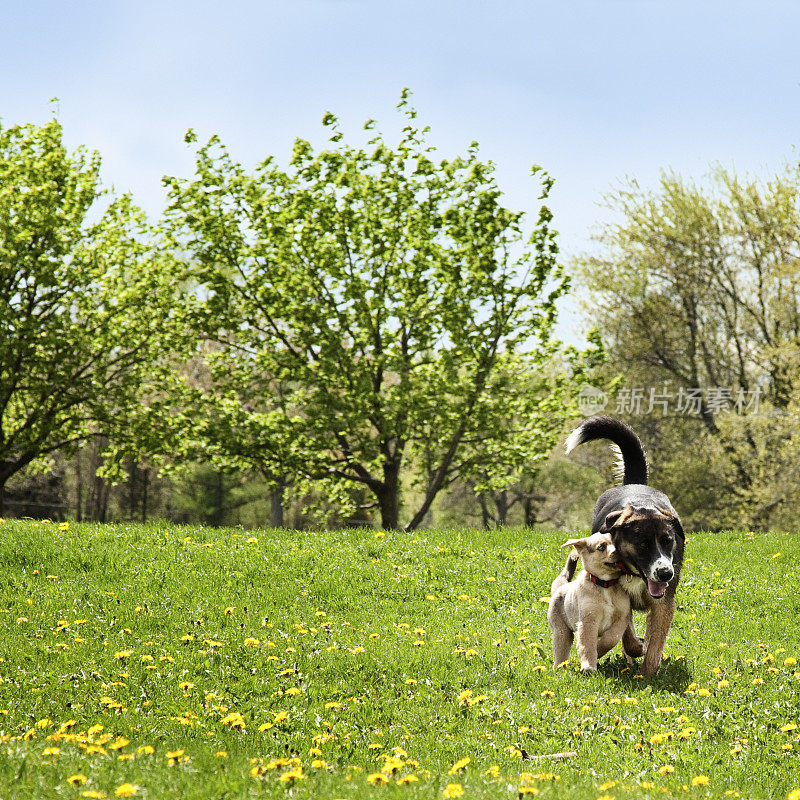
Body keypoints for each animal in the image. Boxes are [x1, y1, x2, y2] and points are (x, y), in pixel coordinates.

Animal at [552, 536, 632, 672]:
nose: (618, 552)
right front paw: (588, 666)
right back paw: (560, 670)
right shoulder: (588, 620)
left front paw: (599, 649)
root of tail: (560, 587)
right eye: (601, 547)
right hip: (561, 631)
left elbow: (611, 638)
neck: (605, 584)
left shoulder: (621, 619)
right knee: (560, 653)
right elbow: (587, 644)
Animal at [564, 418, 684, 676]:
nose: (665, 573)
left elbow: (656, 641)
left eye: (668, 541)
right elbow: (627, 634)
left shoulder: (663, 603)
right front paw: (635, 648)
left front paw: (648, 673)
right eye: (643, 544)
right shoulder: (620, 598)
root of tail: (634, 483)